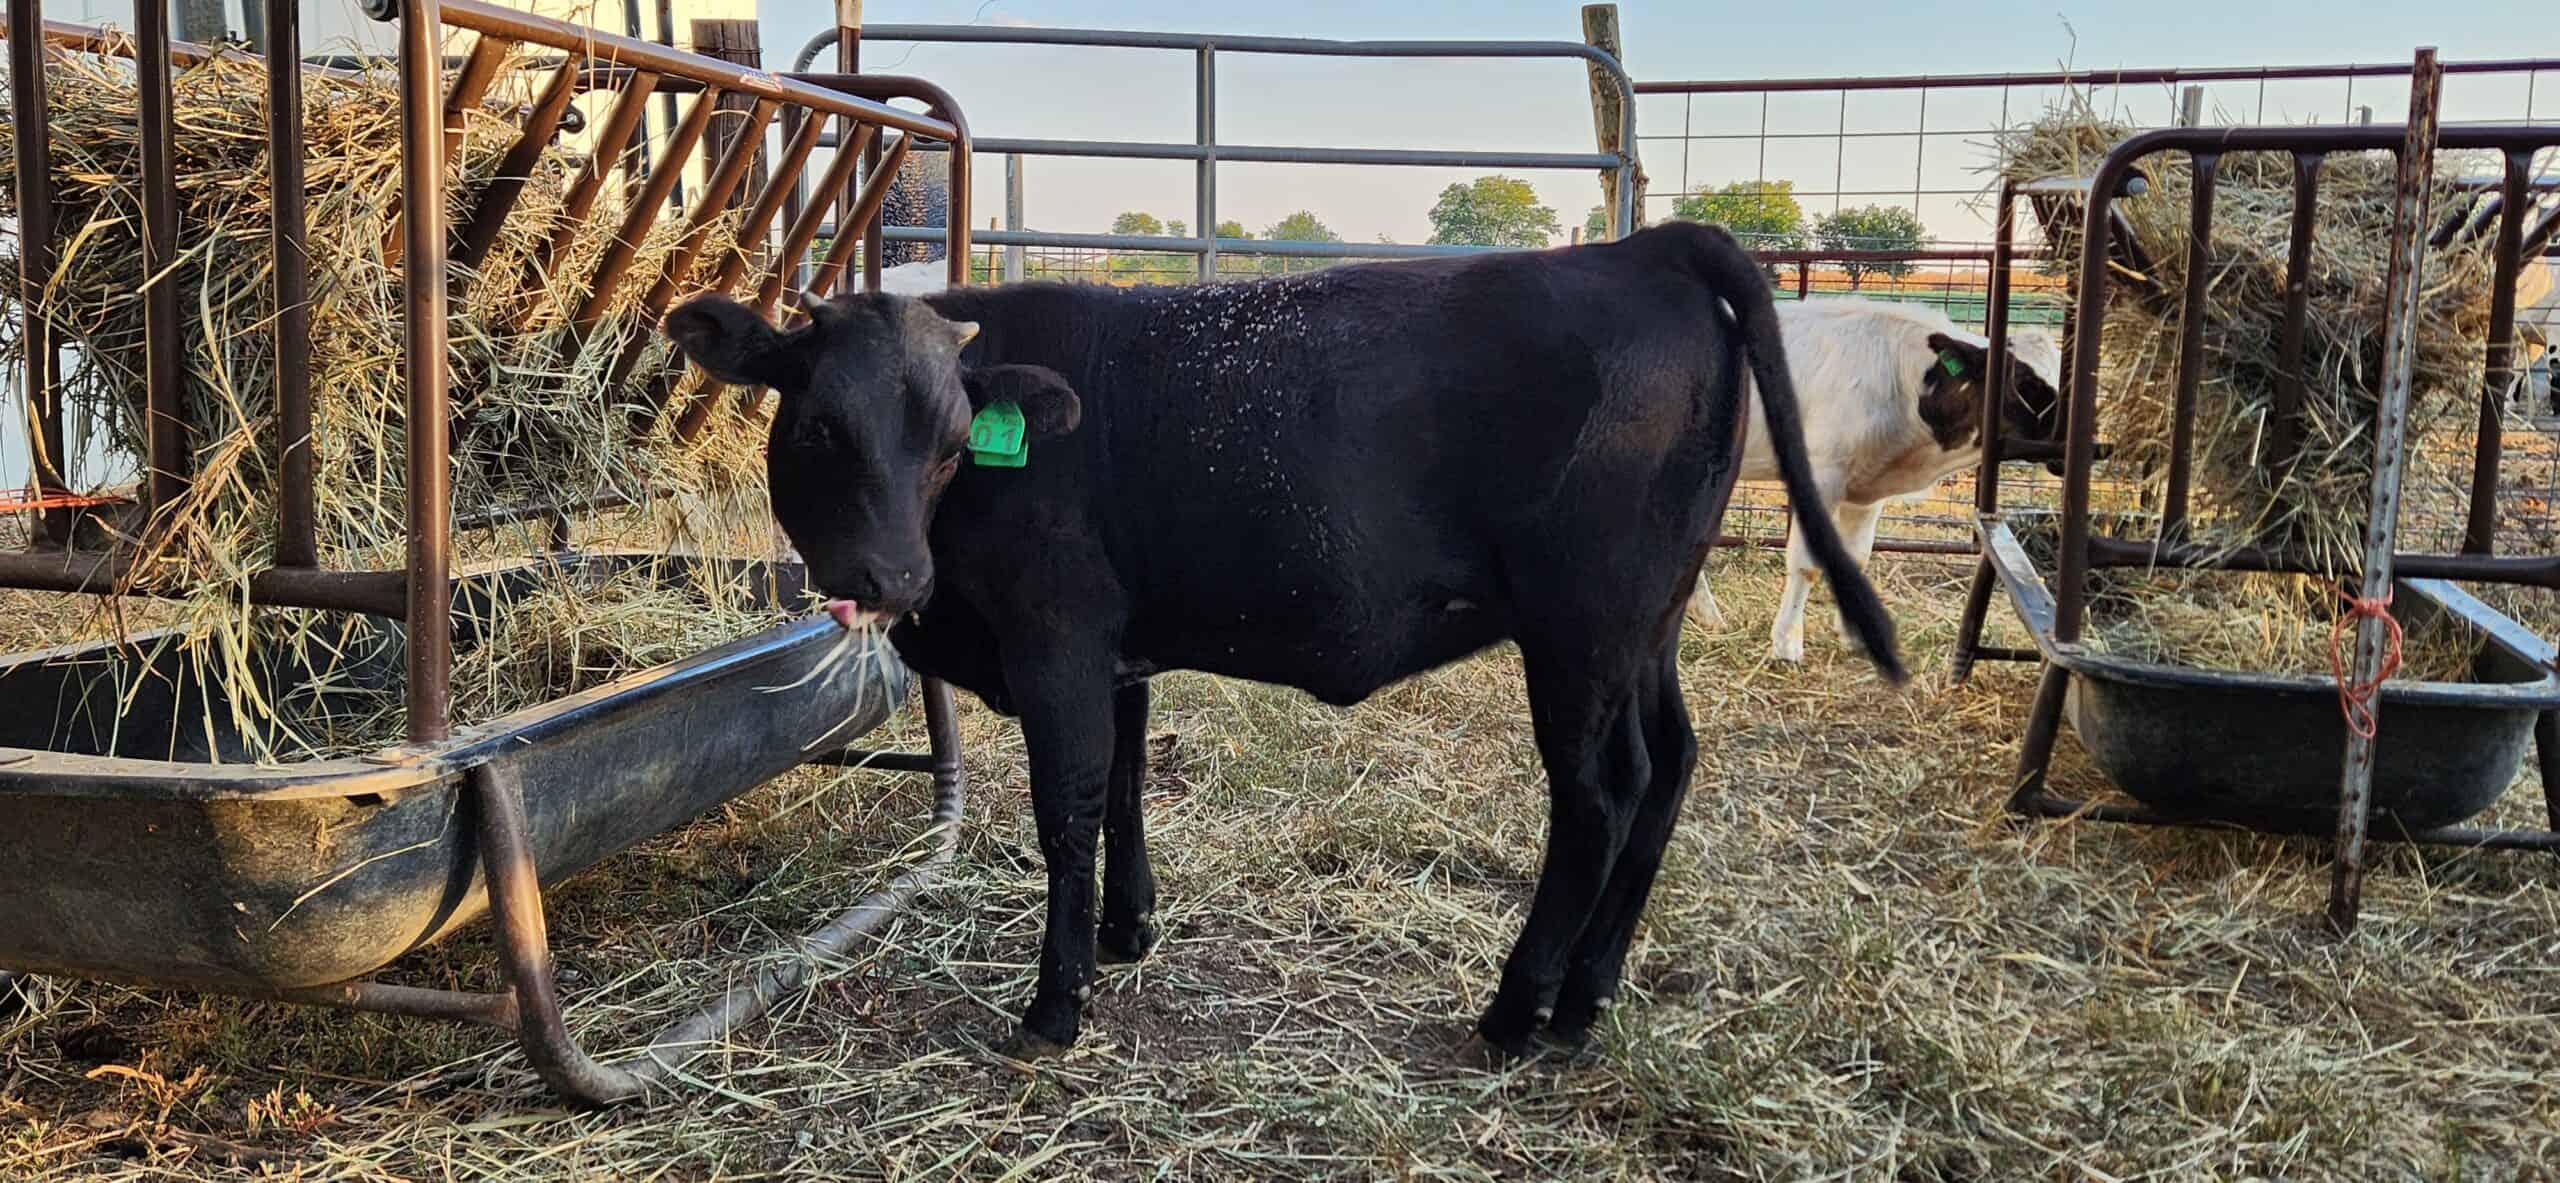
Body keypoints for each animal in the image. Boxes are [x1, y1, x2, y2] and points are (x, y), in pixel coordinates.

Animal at [1689, 295, 2068, 660]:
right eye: (2026, 383)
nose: (2077, 443)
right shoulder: (1823, 474)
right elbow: (1807, 562)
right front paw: (1786, 645)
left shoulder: (1867, 490)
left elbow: (1857, 557)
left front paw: (1854, 636)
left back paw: (1709, 618)